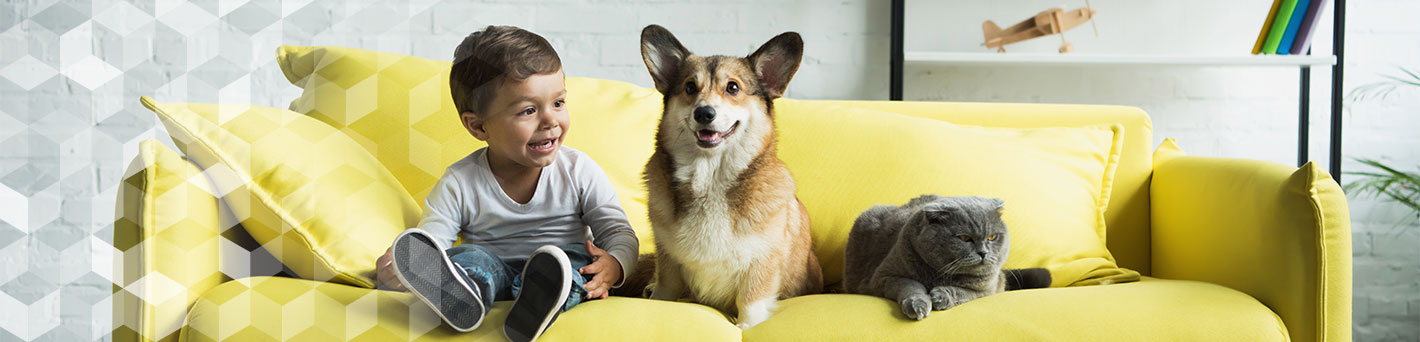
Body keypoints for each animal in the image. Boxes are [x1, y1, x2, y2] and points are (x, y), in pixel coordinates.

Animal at [641, 24, 829, 329]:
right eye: (690, 87)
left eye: (733, 88)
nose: (704, 113)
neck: (710, 178)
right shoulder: (667, 259)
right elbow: (665, 290)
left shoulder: (761, 262)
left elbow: (751, 300)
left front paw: (747, 327)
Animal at [840, 194, 1056, 320]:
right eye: (964, 238)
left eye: (992, 237)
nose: (983, 252)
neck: (940, 274)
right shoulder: (883, 277)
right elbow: (910, 285)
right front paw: (918, 305)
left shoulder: (988, 288)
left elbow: (963, 292)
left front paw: (940, 296)